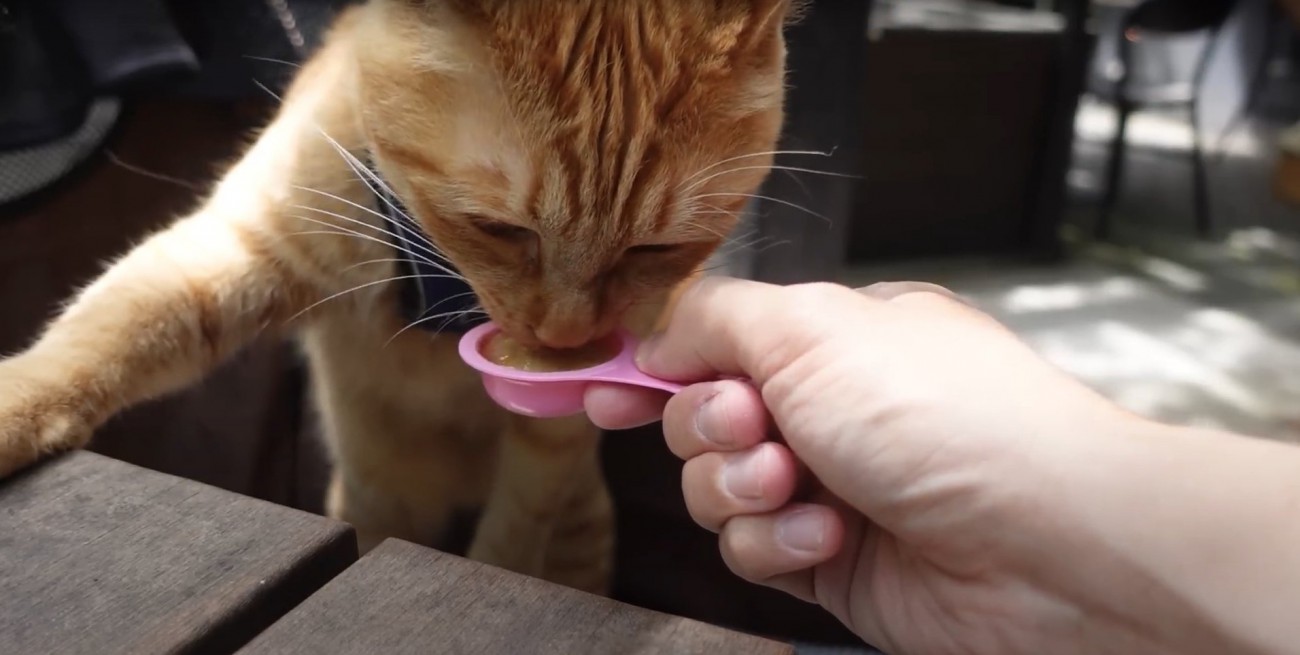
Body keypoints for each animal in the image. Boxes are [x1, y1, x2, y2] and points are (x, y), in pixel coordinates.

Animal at [0, 0, 795, 592]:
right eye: (499, 229)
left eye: (652, 251)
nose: (564, 339)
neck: (440, 288)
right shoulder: (238, 247)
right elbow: (107, 329)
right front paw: (18, 409)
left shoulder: (557, 434)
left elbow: (521, 518)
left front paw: (497, 566)